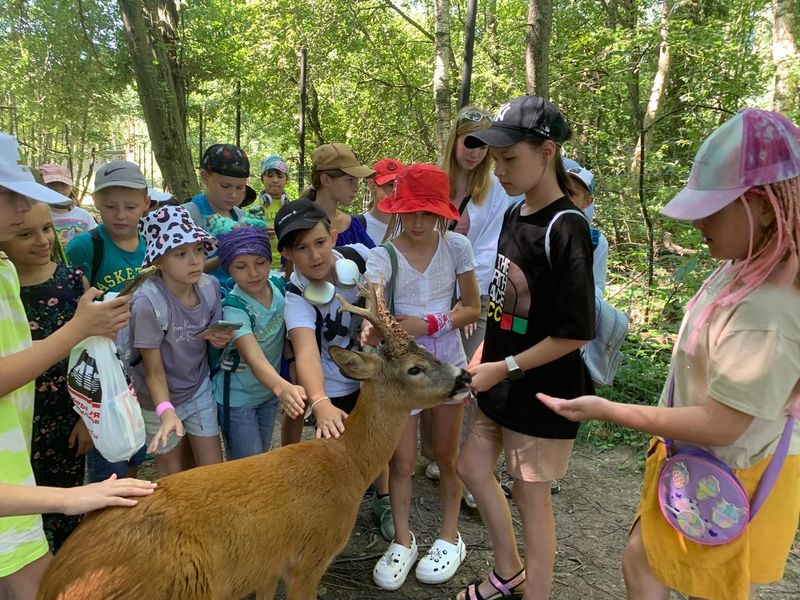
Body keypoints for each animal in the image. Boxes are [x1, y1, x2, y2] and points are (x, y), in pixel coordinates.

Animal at [37, 282, 472, 600]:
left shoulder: (265, 566)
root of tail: (53, 584)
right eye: (414, 368)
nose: (465, 376)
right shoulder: (309, 557)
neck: (346, 466)